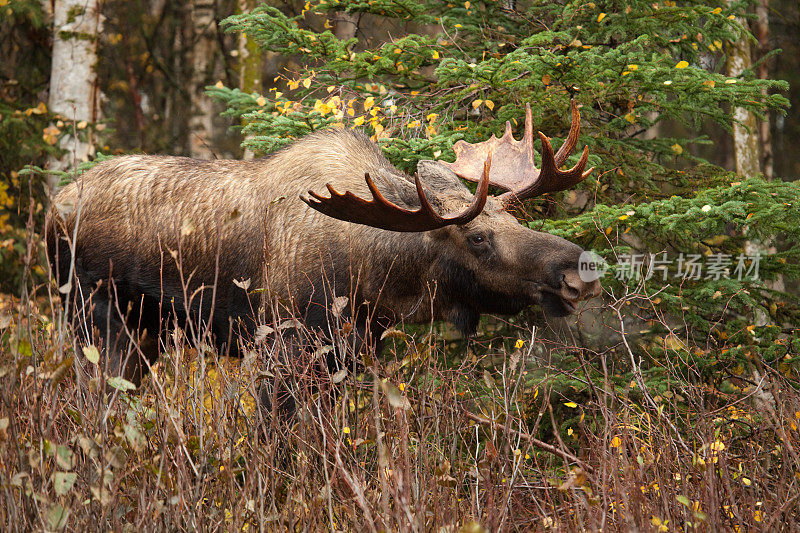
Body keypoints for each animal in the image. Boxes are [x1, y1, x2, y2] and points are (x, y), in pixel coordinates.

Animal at [47, 101, 600, 382]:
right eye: (479, 237)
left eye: (515, 219)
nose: (579, 270)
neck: (375, 283)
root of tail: (53, 207)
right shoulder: (283, 347)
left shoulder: (349, 353)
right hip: (96, 319)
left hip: (149, 334)